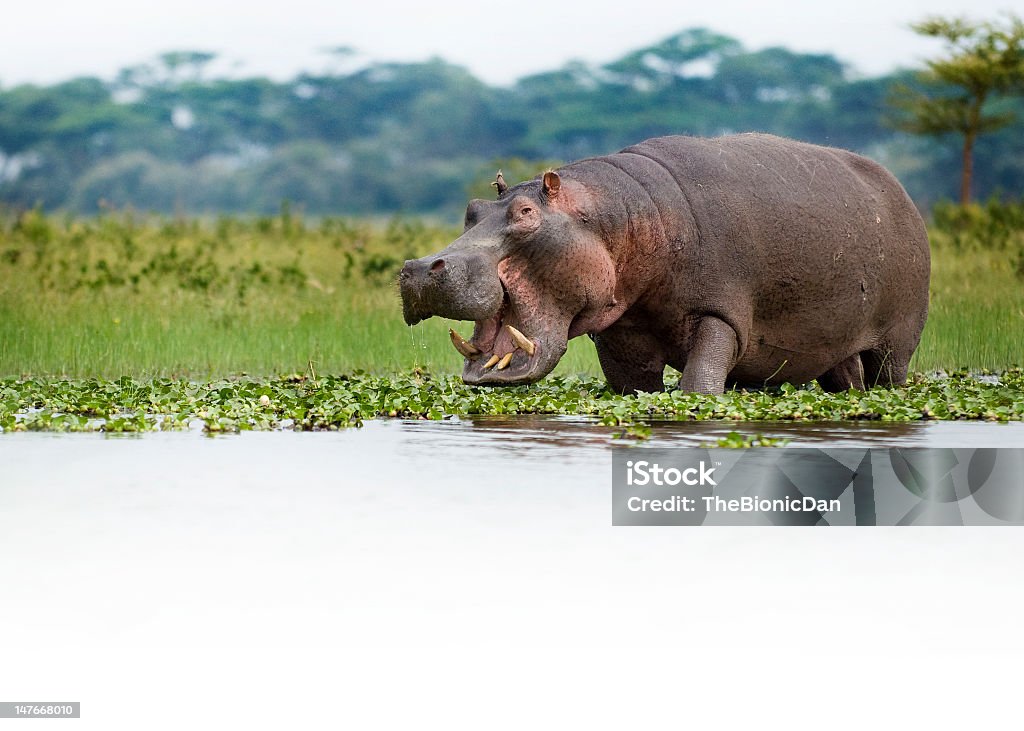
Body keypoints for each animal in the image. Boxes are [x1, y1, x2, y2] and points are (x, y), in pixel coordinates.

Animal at [397, 131, 929, 393]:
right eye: (472, 209)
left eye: (526, 213)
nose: (419, 268)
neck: (619, 216)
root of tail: (900, 189)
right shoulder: (622, 332)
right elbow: (633, 389)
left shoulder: (722, 314)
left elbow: (698, 386)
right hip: (832, 345)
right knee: (846, 379)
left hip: (898, 340)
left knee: (890, 377)